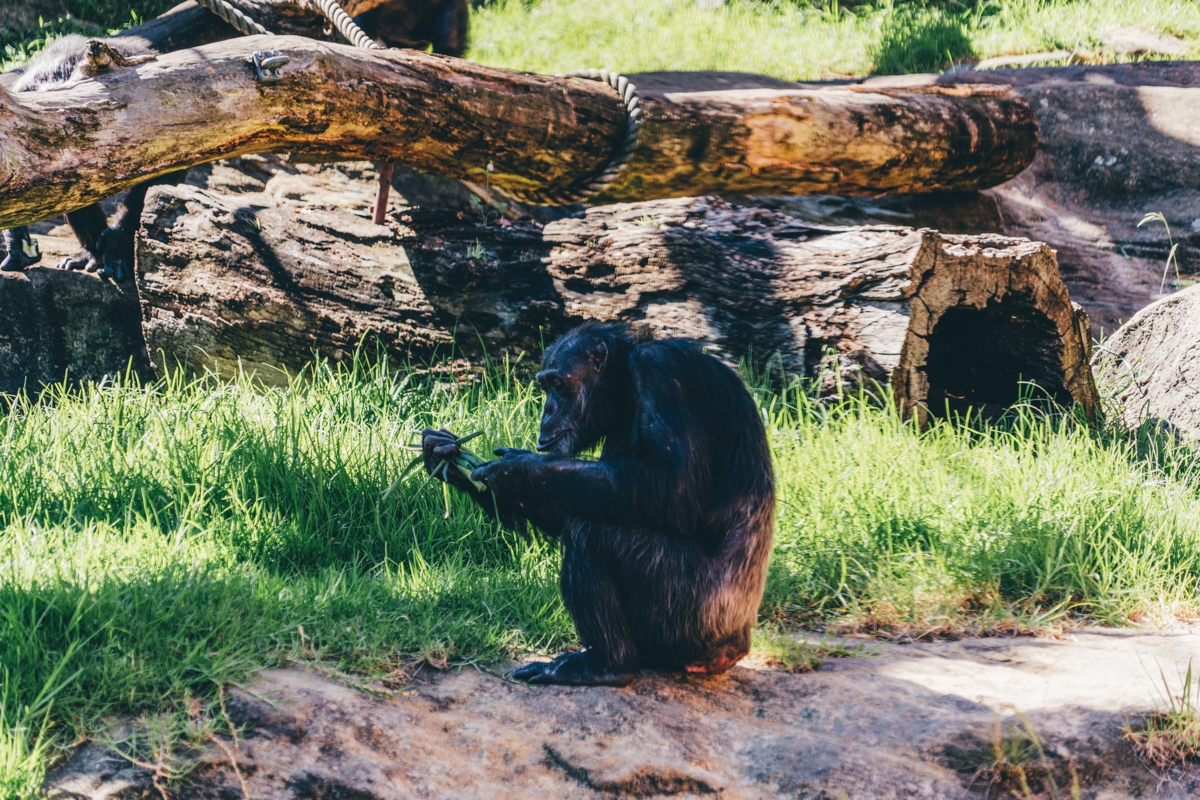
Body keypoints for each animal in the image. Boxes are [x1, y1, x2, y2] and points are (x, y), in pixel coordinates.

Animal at [422, 321, 777, 686]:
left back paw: (604, 665)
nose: (547, 408)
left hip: (692, 615)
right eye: (544, 387)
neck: (625, 387)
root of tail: (734, 648)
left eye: (557, 384)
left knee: (593, 534)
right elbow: (587, 497)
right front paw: (446, 456)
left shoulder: (662, 370)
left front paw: (517, 469)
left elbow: (671, 486)